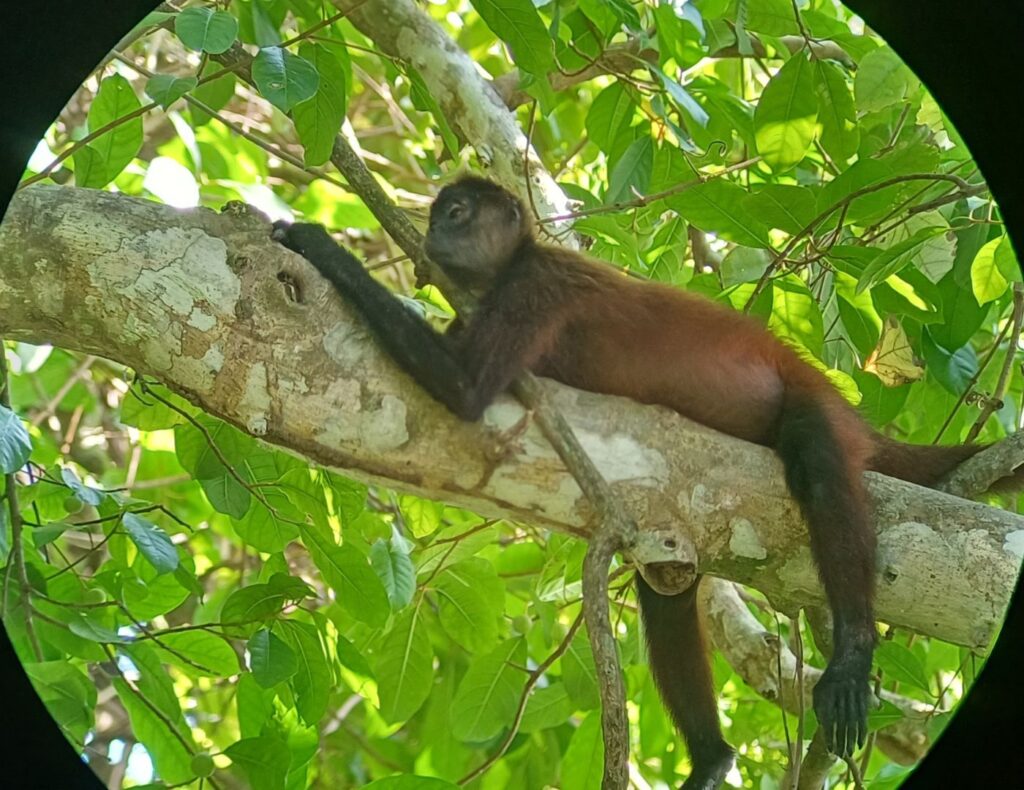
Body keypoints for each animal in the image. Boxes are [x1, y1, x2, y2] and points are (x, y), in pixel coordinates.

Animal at [274, 176, 1024, 786]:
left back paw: (851, 654)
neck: (515, 261)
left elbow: (464, 387)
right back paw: (712, 758)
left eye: (456, 212)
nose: (432, 232)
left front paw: (313, 244)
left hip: (814, 405)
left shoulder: (535, 288)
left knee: (818, 467)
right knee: (666, 585)